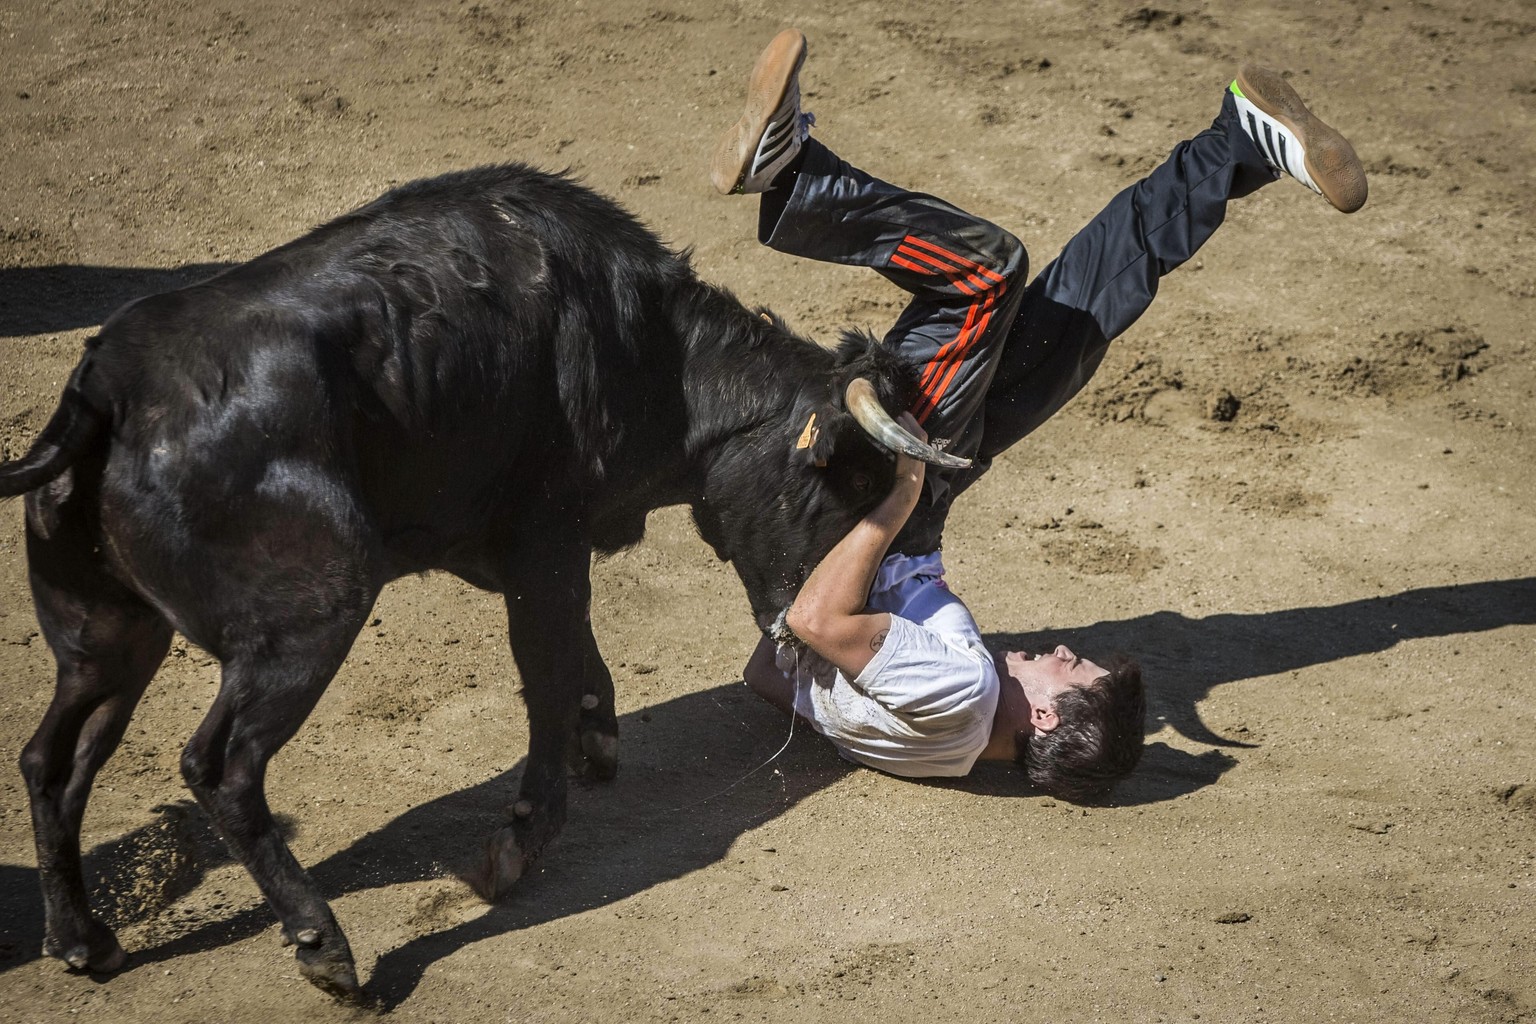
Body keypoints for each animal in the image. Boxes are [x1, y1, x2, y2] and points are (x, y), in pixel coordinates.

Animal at [3, 164, 958, 994]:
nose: (805, 627)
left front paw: (596, 740)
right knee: (220, 766)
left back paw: (85, 940)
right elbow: (549, 671)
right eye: (854, 484)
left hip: (111, 633)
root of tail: (108, 385)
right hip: (311, 616)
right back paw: (325, 946)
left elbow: (574, 655)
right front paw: (520, 842)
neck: (651, 351)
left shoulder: (528, 551)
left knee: (54, 757)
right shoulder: (545, 538)